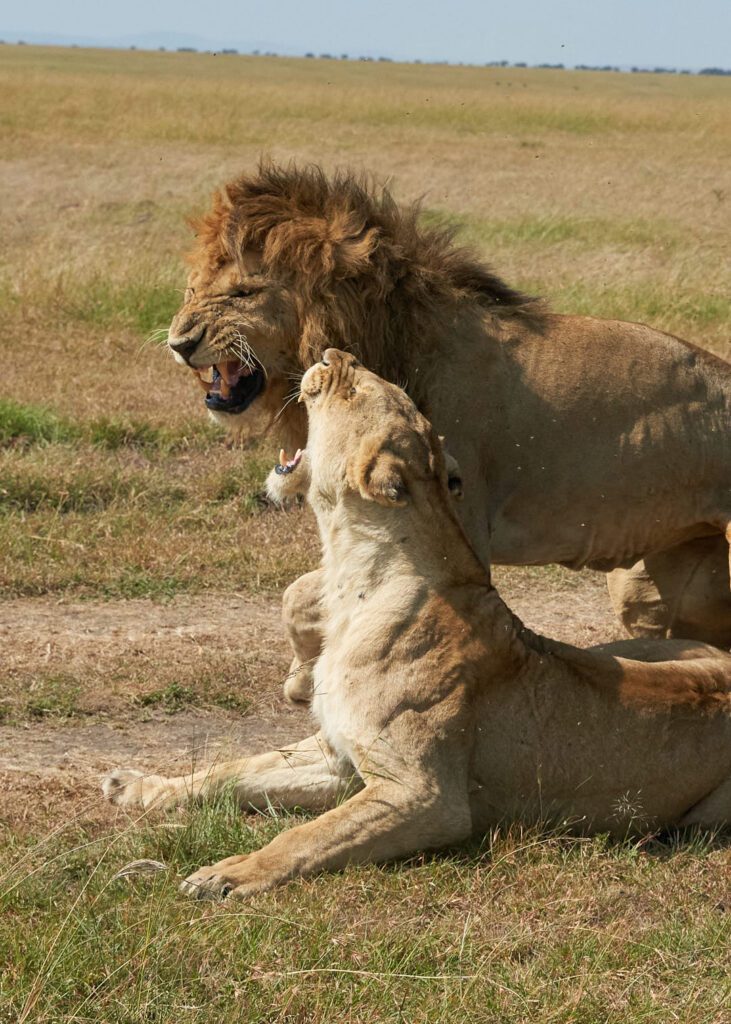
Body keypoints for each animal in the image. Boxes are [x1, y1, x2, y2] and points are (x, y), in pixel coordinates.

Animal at [103, 350, 731, 899]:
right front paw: (139, 787)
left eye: (357, 388)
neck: (351, 577)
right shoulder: (339, 756)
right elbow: (231, 770)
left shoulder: (423, 795)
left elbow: (305, 835)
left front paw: (226, 874)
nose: (331, 352)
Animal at [167, 163, 731, 649]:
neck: (398, 345)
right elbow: (300, 595)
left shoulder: (458, 525)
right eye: (193, 289)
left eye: (243, 293)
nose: (179, 342)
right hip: (658, 580)